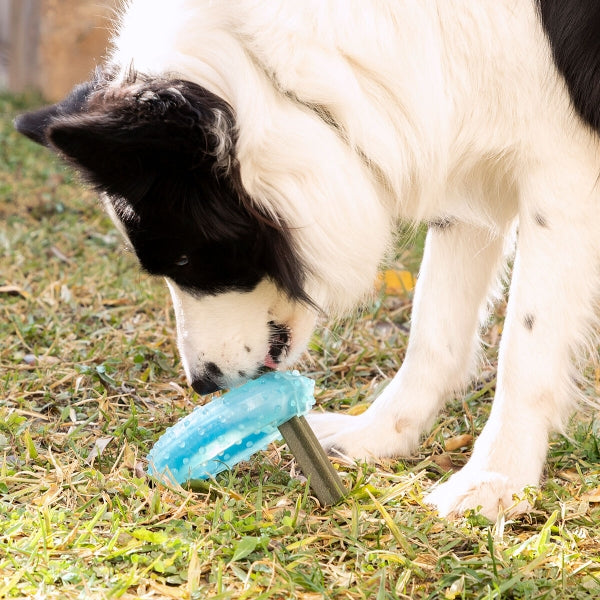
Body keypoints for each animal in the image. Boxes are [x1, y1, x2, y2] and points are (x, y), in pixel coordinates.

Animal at [14, 0, 600, 516]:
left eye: (181, 261)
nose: (203, 384)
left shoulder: (563, 165)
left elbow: (526, 345)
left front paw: (498, 477)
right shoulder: (460, 132)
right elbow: (434, 325)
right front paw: (381, 433)